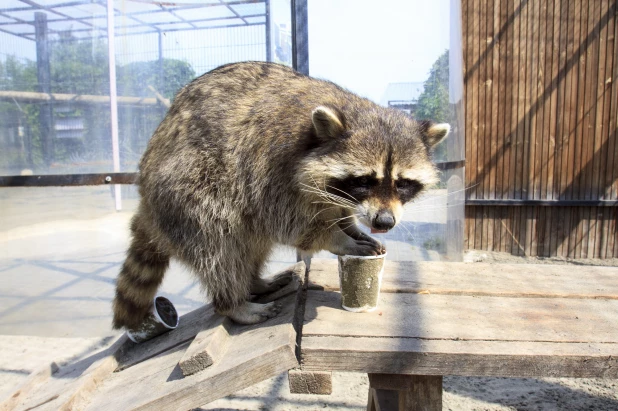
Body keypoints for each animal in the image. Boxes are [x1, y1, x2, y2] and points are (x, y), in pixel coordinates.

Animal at [112, 61, 448, 330]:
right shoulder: (269, 166)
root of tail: (145, 197)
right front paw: (339, 240)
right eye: (364, 180)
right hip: (185, 190)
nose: (385, 222)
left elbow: (335, 210)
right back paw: (233, 302)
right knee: (219, 244)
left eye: (403, 183)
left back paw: (255, 281)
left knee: (250, 244)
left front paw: (349, 226)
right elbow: (286, 221)